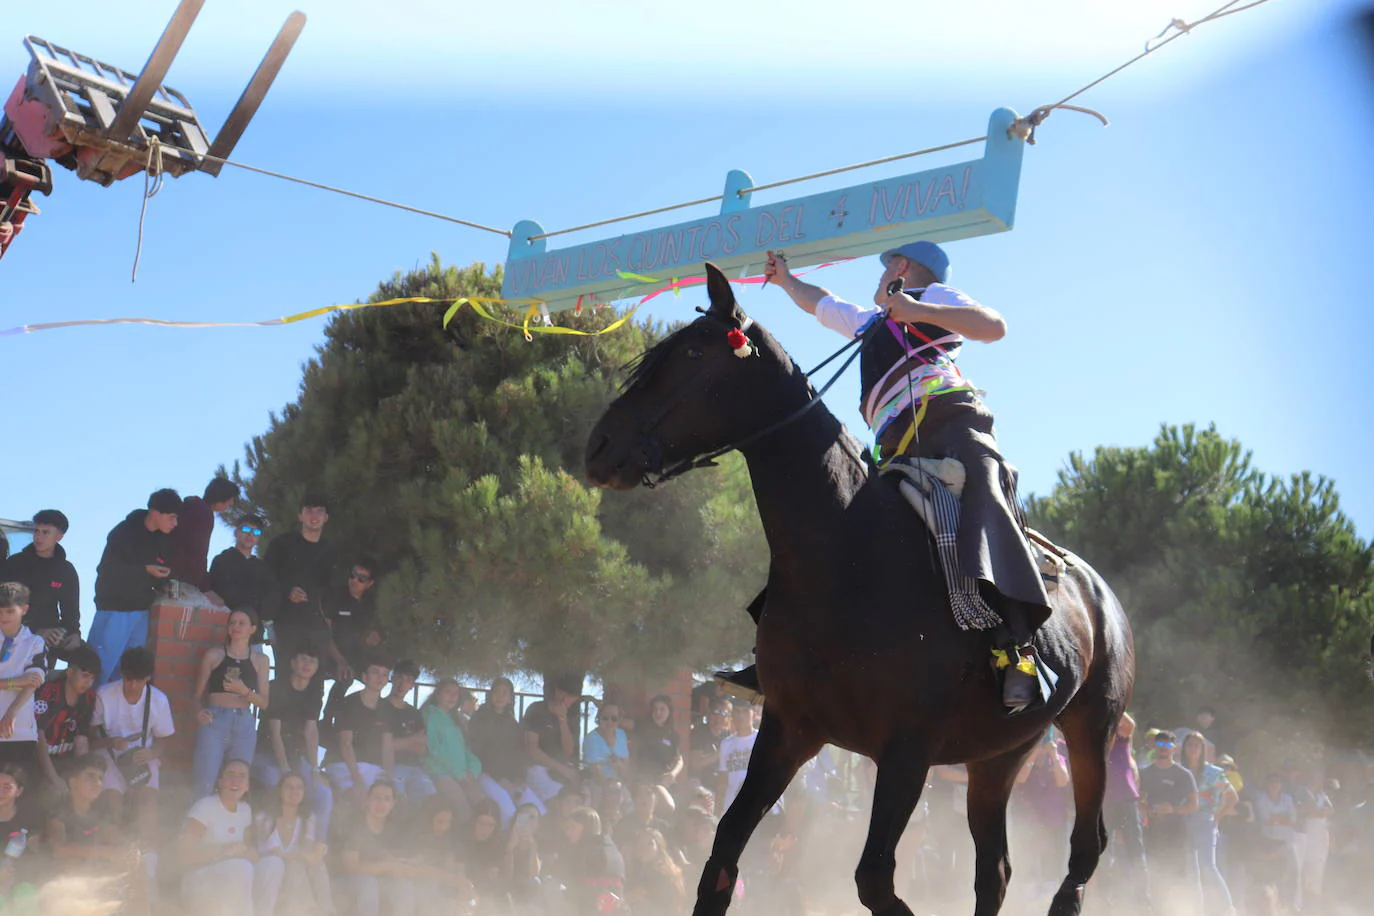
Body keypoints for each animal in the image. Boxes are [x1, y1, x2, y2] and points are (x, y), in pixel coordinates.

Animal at [585, 265, 1132, 916]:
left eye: (693, 352)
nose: (598, 446)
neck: (847, 557)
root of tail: (1102, 597)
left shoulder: (907, 751)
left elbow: (874, 876)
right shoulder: (789, 729)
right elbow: (722, 855)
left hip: (1092, 730)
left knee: (1084, 850)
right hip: (1000, 755)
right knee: (994, 868)